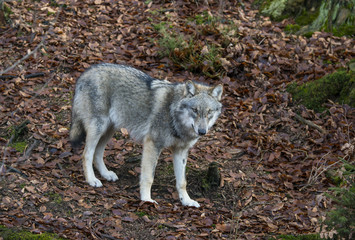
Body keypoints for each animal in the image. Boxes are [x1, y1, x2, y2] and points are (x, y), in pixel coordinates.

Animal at [70, 63, 222, 208]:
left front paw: (186, 201)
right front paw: (146, 199)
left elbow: (182, 182)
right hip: (98, 128)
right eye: (195, 110)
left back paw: (106, 174)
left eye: (209, 112)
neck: (174, 115)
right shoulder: (152, 144)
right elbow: (149, 177)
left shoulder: (181, 151)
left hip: (109, 130)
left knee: (98, 153)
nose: (202, 131)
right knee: (86, 154)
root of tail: (86, 72)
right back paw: (91, 180)